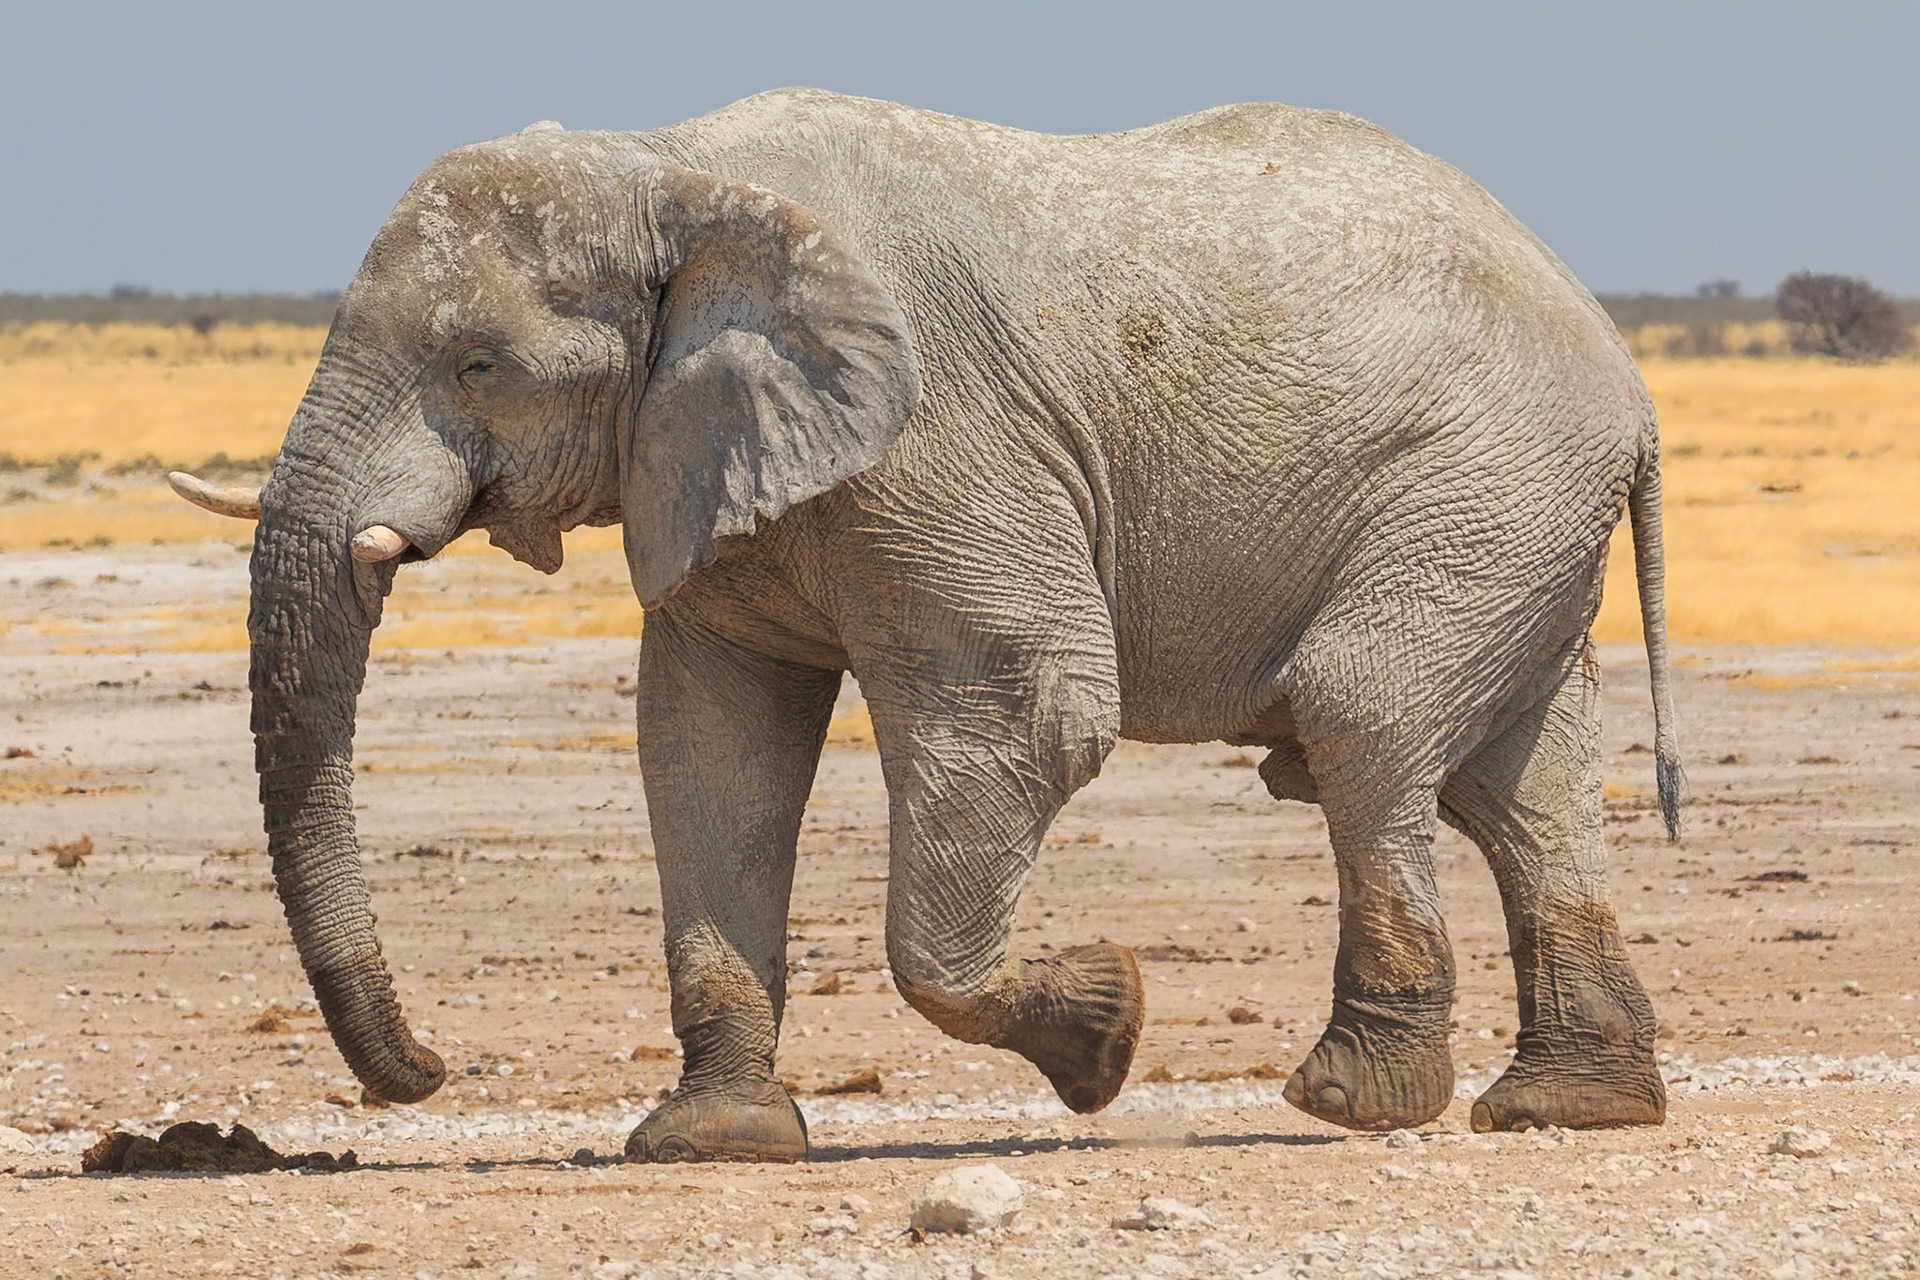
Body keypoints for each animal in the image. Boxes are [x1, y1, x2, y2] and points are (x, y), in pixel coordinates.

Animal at [169, 87, 1683, 1163]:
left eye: (477, 362)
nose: (430, 1072)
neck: (673, 173)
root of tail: (1624, 369)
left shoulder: (945, 445)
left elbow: (1031, 712)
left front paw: (1108, 1031)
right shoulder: (706, 460)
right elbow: (707, 746)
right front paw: (710, 1144)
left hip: (1484, 480)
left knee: (1364, 716)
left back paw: (1352, 1101)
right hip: (1514, 516)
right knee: (1521, 786)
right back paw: (1567, 1109)